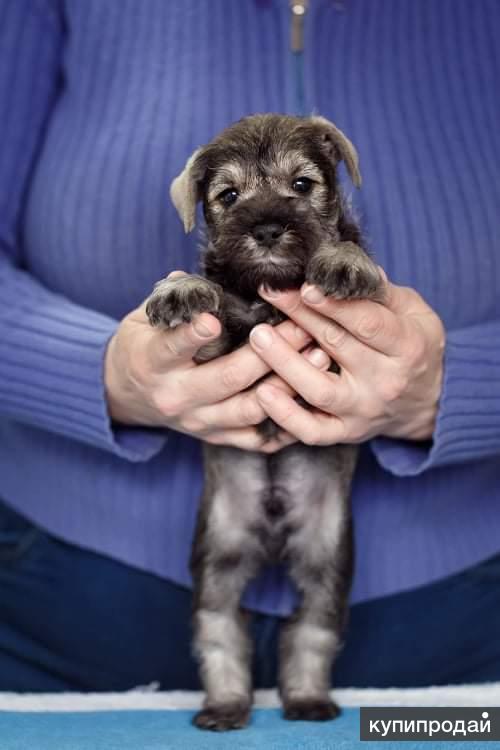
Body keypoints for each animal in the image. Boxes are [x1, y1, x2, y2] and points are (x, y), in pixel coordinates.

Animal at [146, 114, 380, 732]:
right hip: (218, 558)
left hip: (327, 559)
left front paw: (344, 261)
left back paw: (308, 700)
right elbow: (212, 297)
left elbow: (357, 268)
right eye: (228, 196)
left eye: (301, 184)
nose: (269, 229)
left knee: (312, 630)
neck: (269, 293)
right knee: (222, 629)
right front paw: (180, 288)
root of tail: (273, 538)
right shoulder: (212, 351)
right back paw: (225, 707)